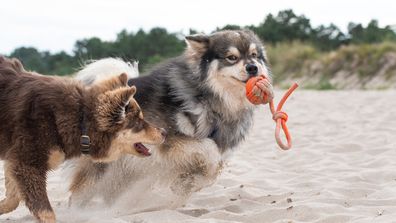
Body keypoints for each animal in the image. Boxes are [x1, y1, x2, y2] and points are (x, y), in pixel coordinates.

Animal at [0, 56, 166, 222]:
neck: (80, 120)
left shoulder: (16, 160)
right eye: (138, 123)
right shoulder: (28, 165)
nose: (164, 132)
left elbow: (13, 199)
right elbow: (46, 212)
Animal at [69, 28, 274, 210]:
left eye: (254, 55)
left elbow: (211, 172)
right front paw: (187, 181)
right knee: (80, 193)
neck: (210, 98)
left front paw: (185, 183)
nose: (253, 67)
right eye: (232, 57)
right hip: (101, 168)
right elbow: (210, 151)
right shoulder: (170, 142)